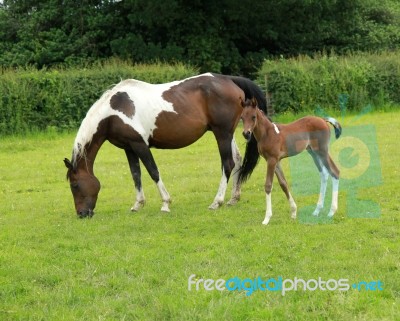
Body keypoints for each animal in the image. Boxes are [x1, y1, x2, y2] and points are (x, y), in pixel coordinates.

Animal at [65, 73, 266, 218]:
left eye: (75, 185)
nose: (82, 214)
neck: (114, 112)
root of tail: (229, 79)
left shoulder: (140, 145)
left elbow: (153, 172)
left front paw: (165, 204)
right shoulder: (129, 148)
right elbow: (136, 175)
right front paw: (137, 204)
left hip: (222, 133)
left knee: (227, 164)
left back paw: (217, 202)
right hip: (226, 133)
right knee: (238, 160)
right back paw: (233, 198)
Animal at [239, 96, 342, 224]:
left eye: (253, 116)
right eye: (242, 117)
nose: (246, 133)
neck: (267, 133)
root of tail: (323, 120)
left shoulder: (272, 160)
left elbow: (268, 185)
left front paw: (267, 218)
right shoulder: (275, 161)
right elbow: (283, 184)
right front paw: (293, 212)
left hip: (322, 151)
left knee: (334, 172)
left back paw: (331, 211)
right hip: (313, 153)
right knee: (324, 174)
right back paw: (317, 210)